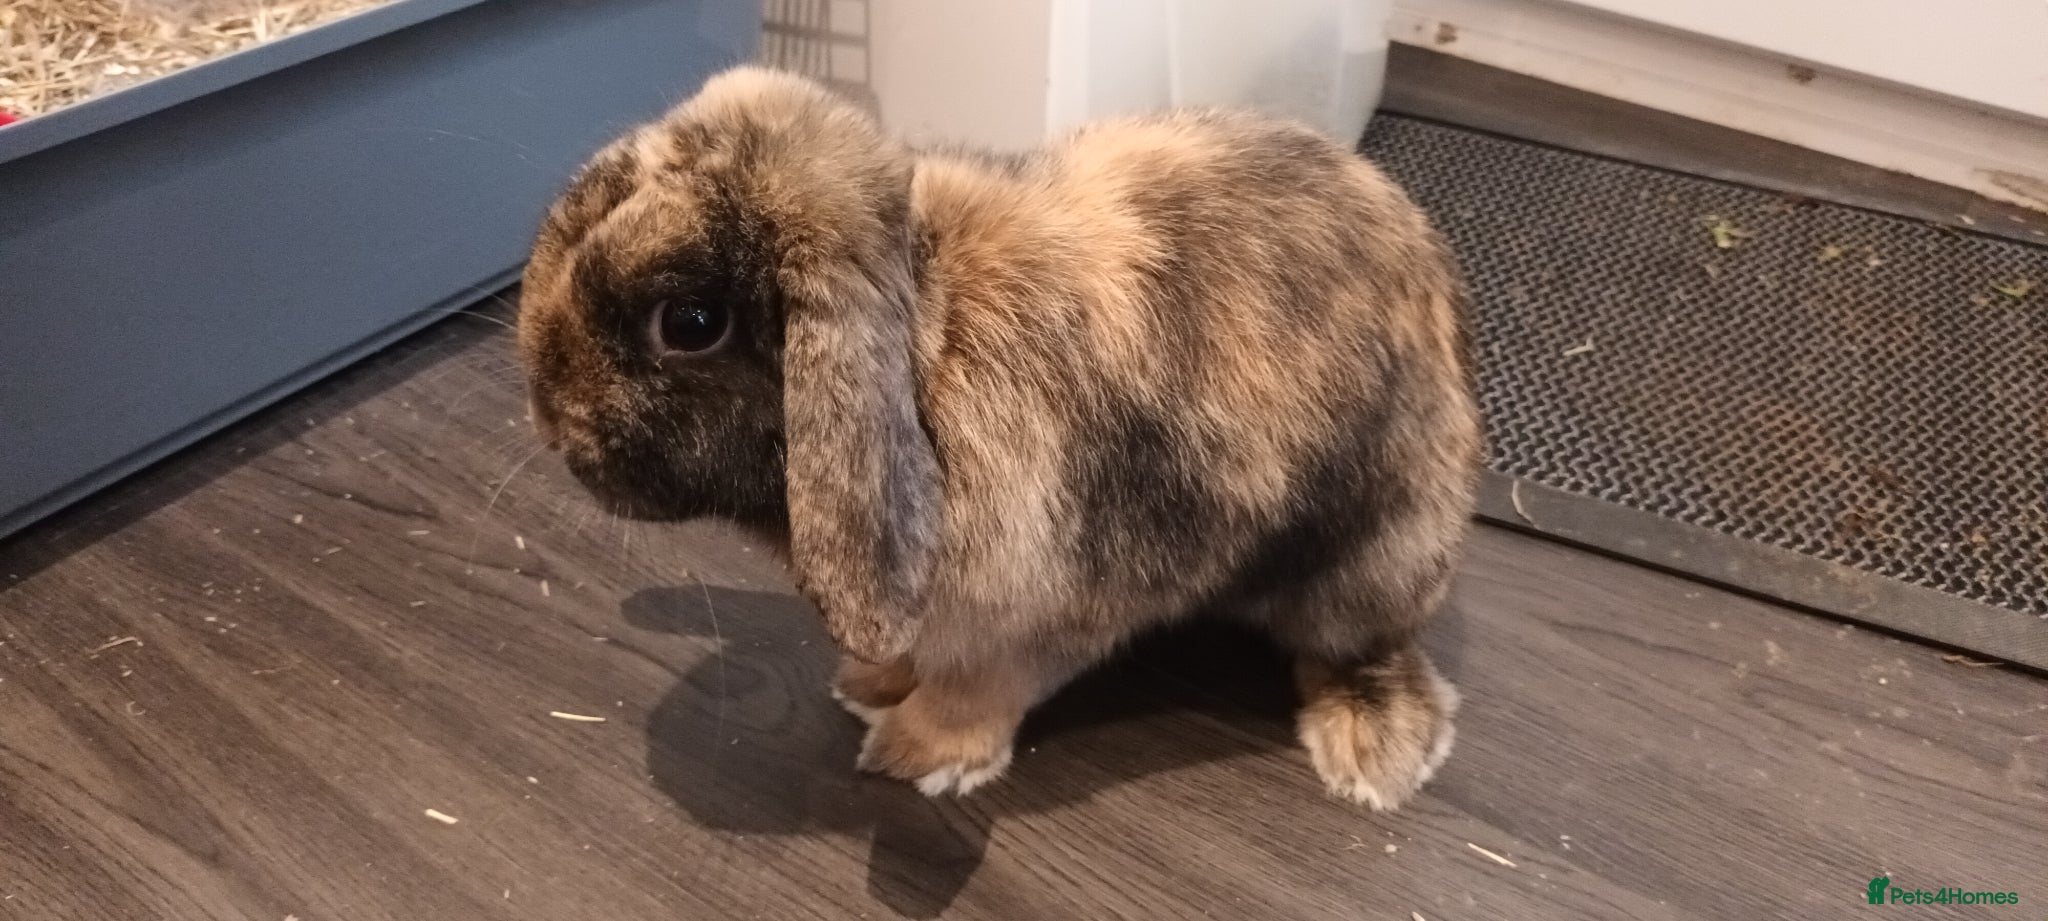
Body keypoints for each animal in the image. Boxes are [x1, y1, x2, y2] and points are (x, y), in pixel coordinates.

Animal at [518, 66, 1482, 810]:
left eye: (690, 322)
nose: (548, 416)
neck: (926, 349)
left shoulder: (1033, 617)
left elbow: (977, 691)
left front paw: (914, 754)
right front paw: (867, 687)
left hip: (1368, 561)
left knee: (1358, 647)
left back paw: (1373, 754)